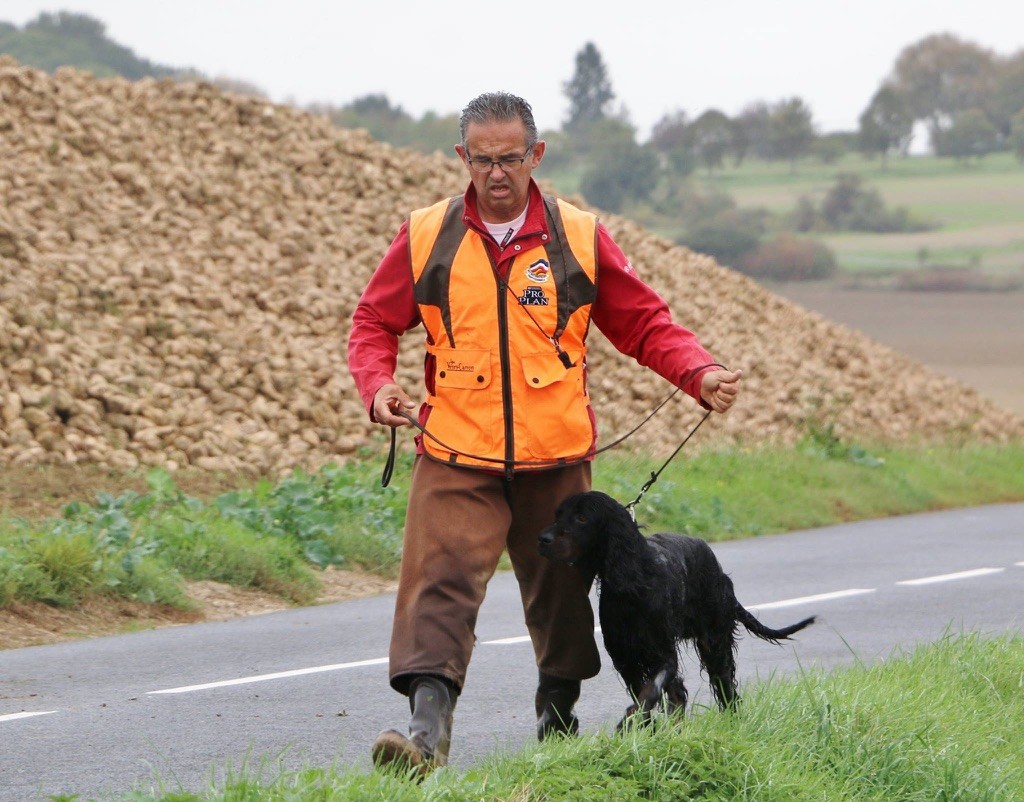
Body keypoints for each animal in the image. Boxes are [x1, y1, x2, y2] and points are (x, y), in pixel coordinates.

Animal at [536, 491, 815, 725]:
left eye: (582, 518)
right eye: (558, 515)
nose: (542, 539)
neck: (634, 582)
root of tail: (720, 572)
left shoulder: (662, 652)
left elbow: (650, 691)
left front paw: (631, 720)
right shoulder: (625, 658)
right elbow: (646, 695)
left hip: (714, 642)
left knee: (725, 687)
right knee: (679, 693)